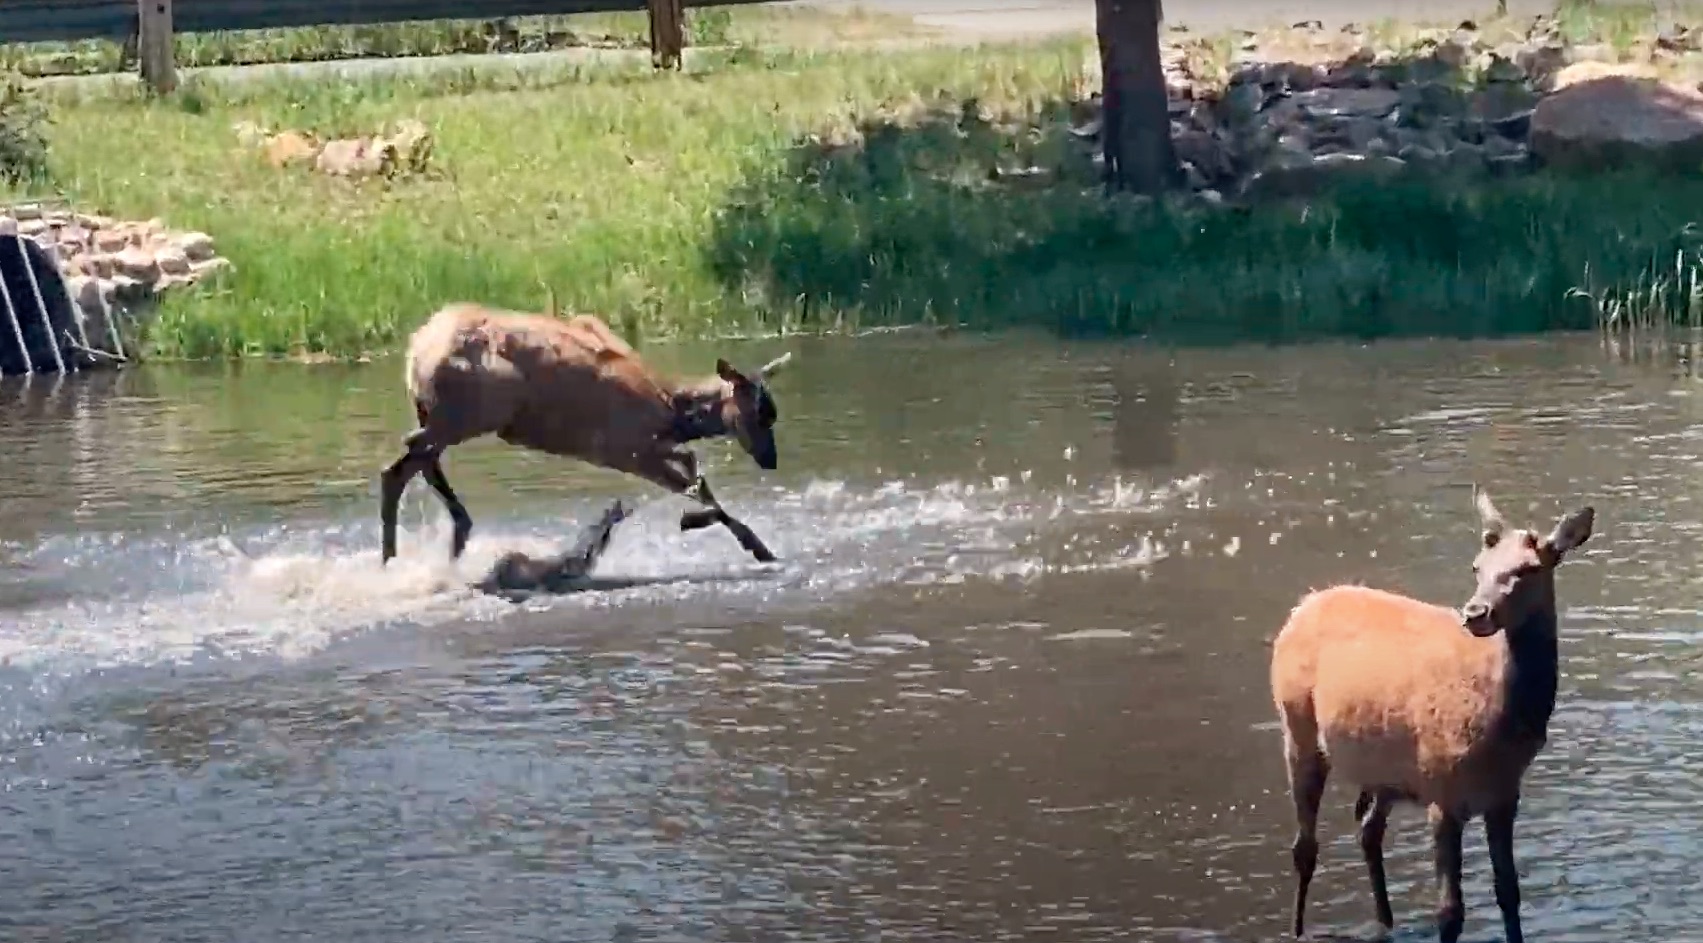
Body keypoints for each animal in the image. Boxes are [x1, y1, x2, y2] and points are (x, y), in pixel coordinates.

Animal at [378, 293, 792, 570]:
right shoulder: (627, 449)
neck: (672, 408)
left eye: (773, 413)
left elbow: (696, 475)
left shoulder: (649, 446)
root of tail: (415, 352)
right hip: (469, 414)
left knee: (414, 462)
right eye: (761, 414)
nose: (771, 460)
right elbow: (696, 484)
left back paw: (436, 545)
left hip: (441, 413)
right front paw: (744, 542)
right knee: (403, 461)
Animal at [1269, 489, 1596, 943]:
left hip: (1388, 772)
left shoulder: (1504, 795)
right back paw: (1298, 930)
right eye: (1477, 566)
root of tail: (1303, 605)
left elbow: (1509, 892)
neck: (1500, 730)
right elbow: (1450, 912)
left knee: (1368, 829)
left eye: (1529, 568)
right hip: (1297, 727)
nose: (1476, 613)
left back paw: (1385, 921)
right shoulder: (1442, 793)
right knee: (1304, 846)